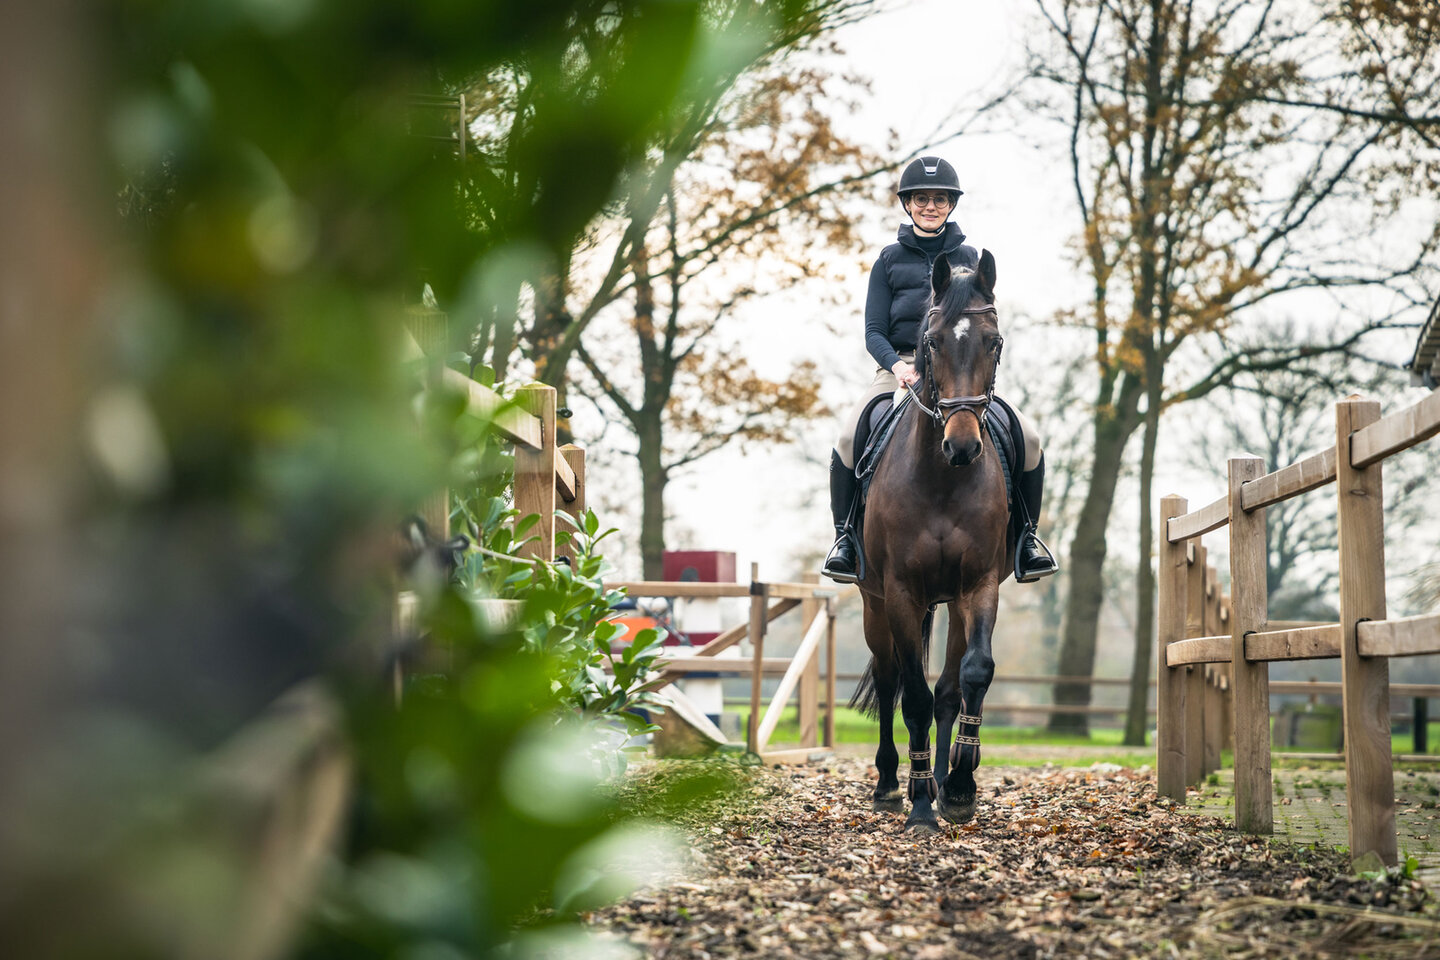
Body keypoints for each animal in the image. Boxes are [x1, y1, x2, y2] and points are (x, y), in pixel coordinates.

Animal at [852, 248, 1013, 835]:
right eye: (934, 341)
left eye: (993, 341)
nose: (962, 446)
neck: (942, 479)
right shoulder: (901, 592)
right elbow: (913, 697)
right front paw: (920, 804)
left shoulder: (979, 586)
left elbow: (973, 675)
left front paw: (960, 787)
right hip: (874, 600)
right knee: (889, 677)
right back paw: (890, 786)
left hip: (950, 603)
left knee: (949, 688)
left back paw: (945, 783)